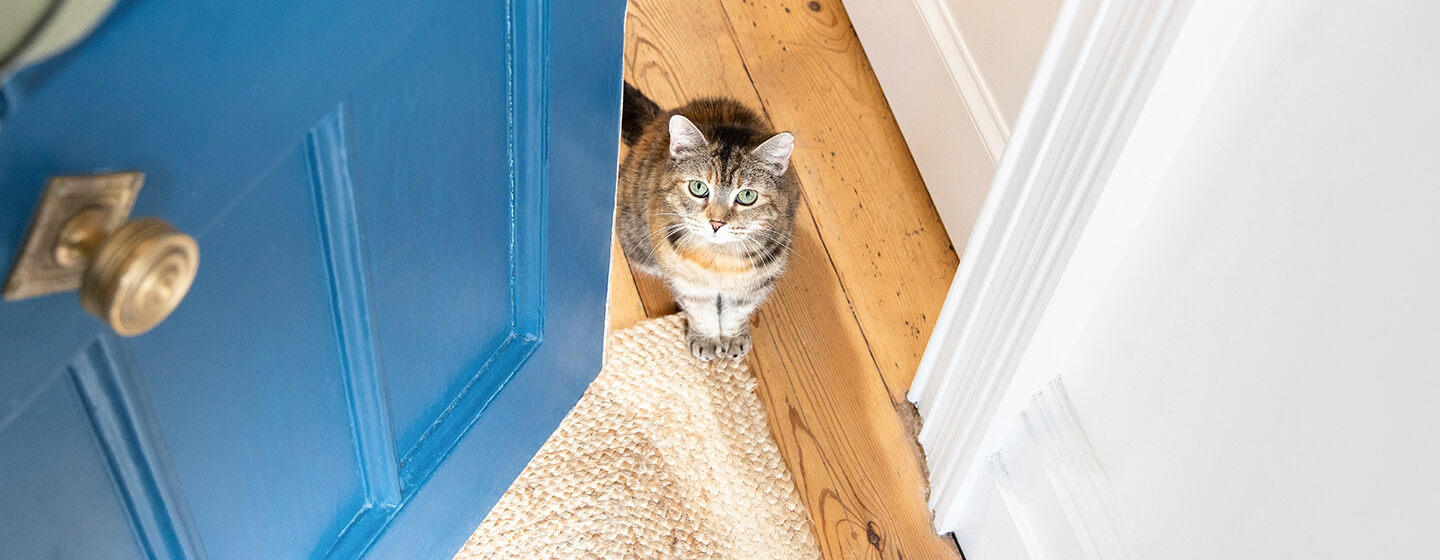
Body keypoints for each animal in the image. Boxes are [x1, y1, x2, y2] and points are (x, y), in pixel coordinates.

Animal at [616, 83, 800, 362]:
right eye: (698, 187)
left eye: (747, 196)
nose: (716, 222)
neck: (718, 260)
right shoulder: (686, 282)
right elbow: (700, 312)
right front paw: (706, 339)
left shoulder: (756, 282)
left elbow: (738, 312)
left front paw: (733, 338)